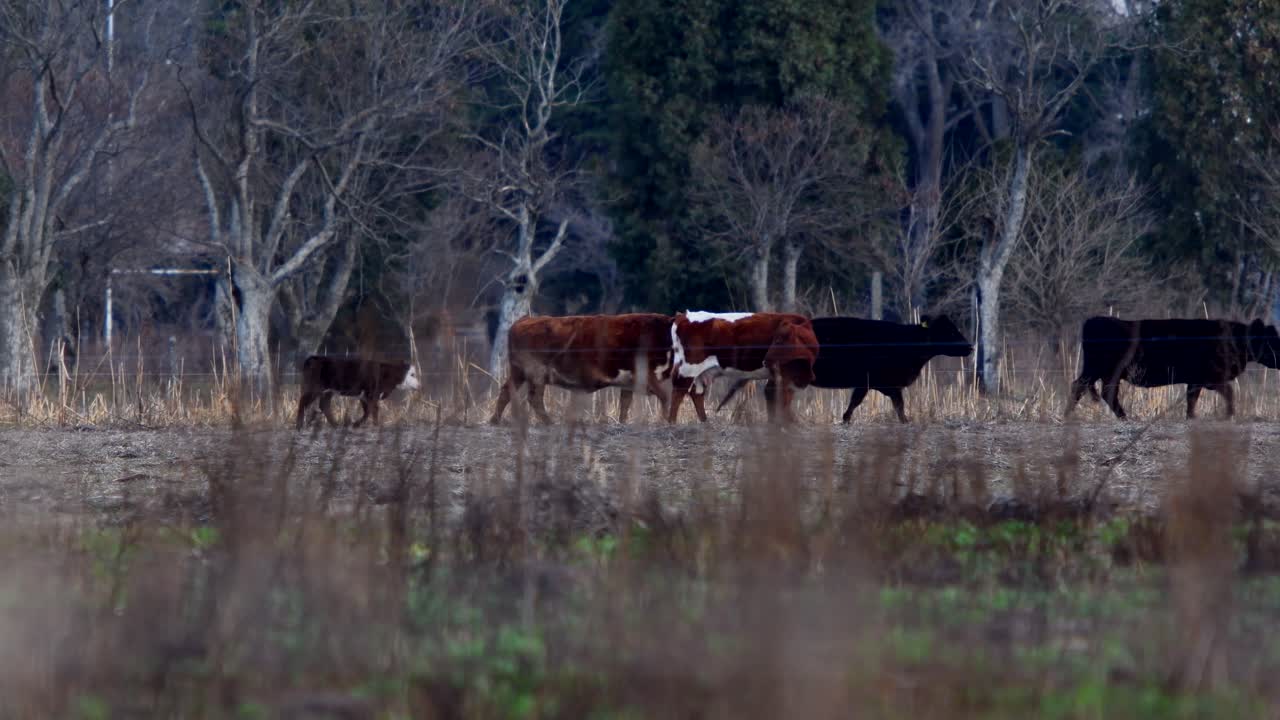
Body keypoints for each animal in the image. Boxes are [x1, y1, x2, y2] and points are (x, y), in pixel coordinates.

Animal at [490, 313, 673, 425]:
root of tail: (524, 320)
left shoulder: (629, 380)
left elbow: (625, 403)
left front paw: (622, 423)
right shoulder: (647, 374)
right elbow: (664, 397)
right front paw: (667, 421)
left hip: (520, 374)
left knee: (507, 391)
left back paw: (495, 420)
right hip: (536, 374)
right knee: (533, 398)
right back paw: (548, 423)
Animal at [668, 311, 818, 423]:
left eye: (779, 340)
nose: (766, 360)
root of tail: (683, 316)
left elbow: (775, 396)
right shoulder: (784, 374)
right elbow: (781, 397)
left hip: (701, 372)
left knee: (696, 393)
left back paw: (705, 421)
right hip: (688, 368)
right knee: (678, 392)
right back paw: (672, 423)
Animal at [807, 315, 972, 423]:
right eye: (949, 331)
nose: (970, 346)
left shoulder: (888, 385)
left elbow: (898, 406)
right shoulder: (870, 381)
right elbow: (856, 403)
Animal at [1066, 316, 1280, 419]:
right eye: (1271, 340)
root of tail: (1094, 320)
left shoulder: (1196, 380)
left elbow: (1192, 399)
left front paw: (1191, 417)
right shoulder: (1211, 377)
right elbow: (1229, 393)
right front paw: (1229, 414)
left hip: (1106, 373)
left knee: (1104, 392)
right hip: (1098, 369)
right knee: (1082, 387)